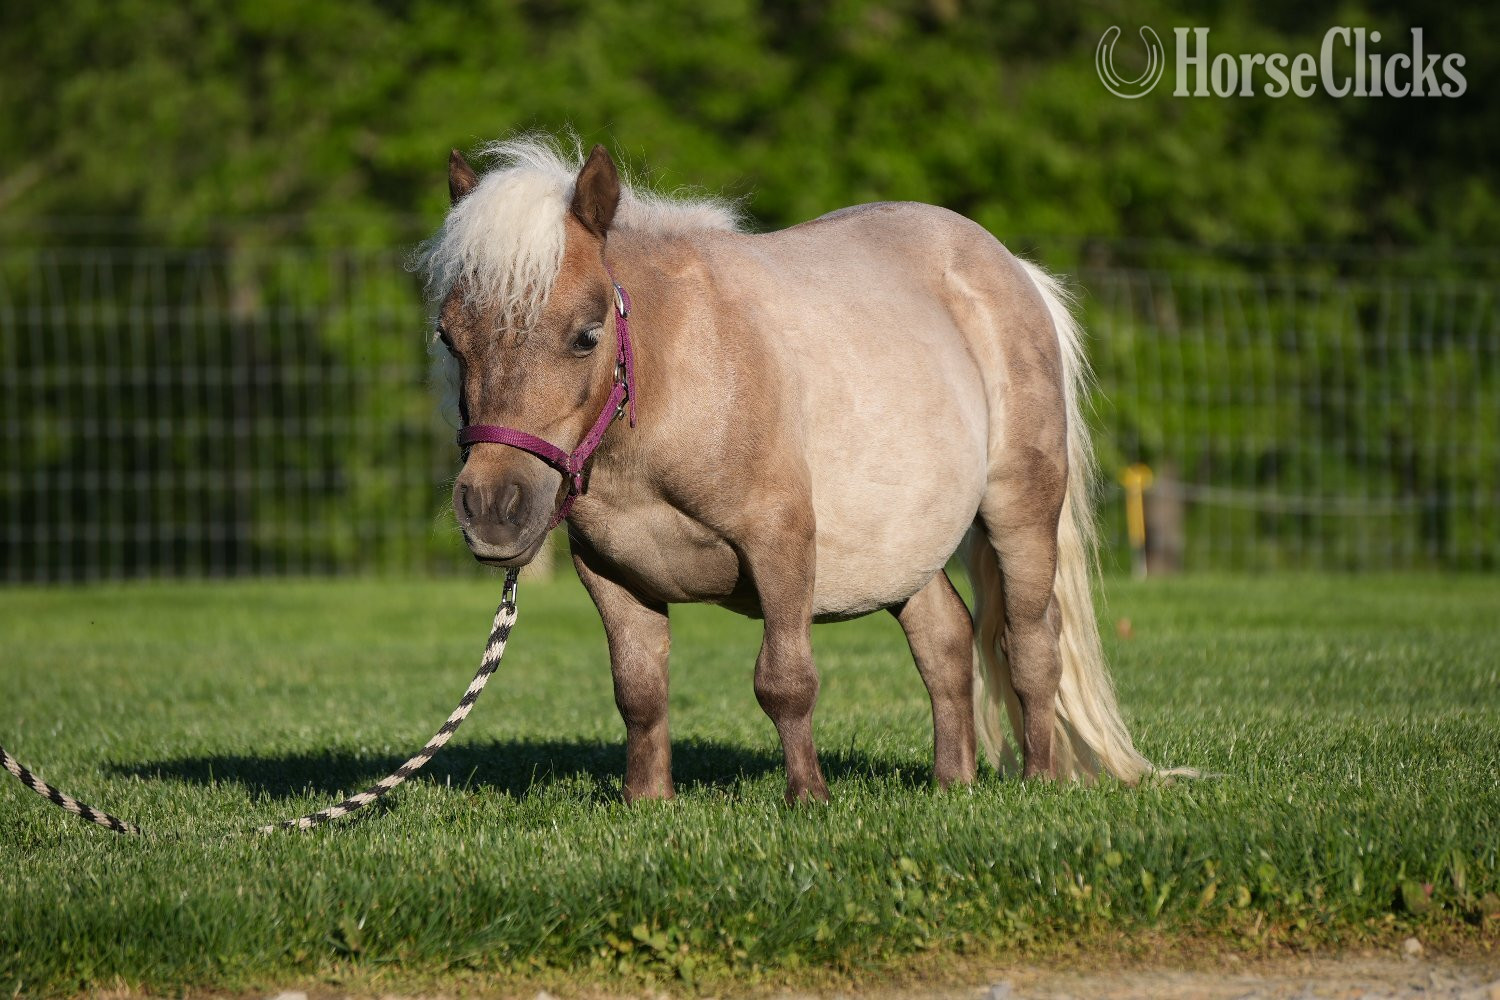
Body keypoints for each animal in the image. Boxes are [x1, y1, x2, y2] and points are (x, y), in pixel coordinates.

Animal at [418, 136, 1163, 804]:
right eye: (451, 338)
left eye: (586, 335)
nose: (492, 510)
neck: (672, 384)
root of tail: (1010, 267)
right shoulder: (610, 571)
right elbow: (639, 690)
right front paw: (647, 802)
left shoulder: (779, 542)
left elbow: (784, 681)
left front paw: (809, 799)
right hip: (904, 545)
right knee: (946, 640)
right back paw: (954, 784)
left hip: (1020, 511)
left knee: (1031, 645)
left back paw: (1041, 782)